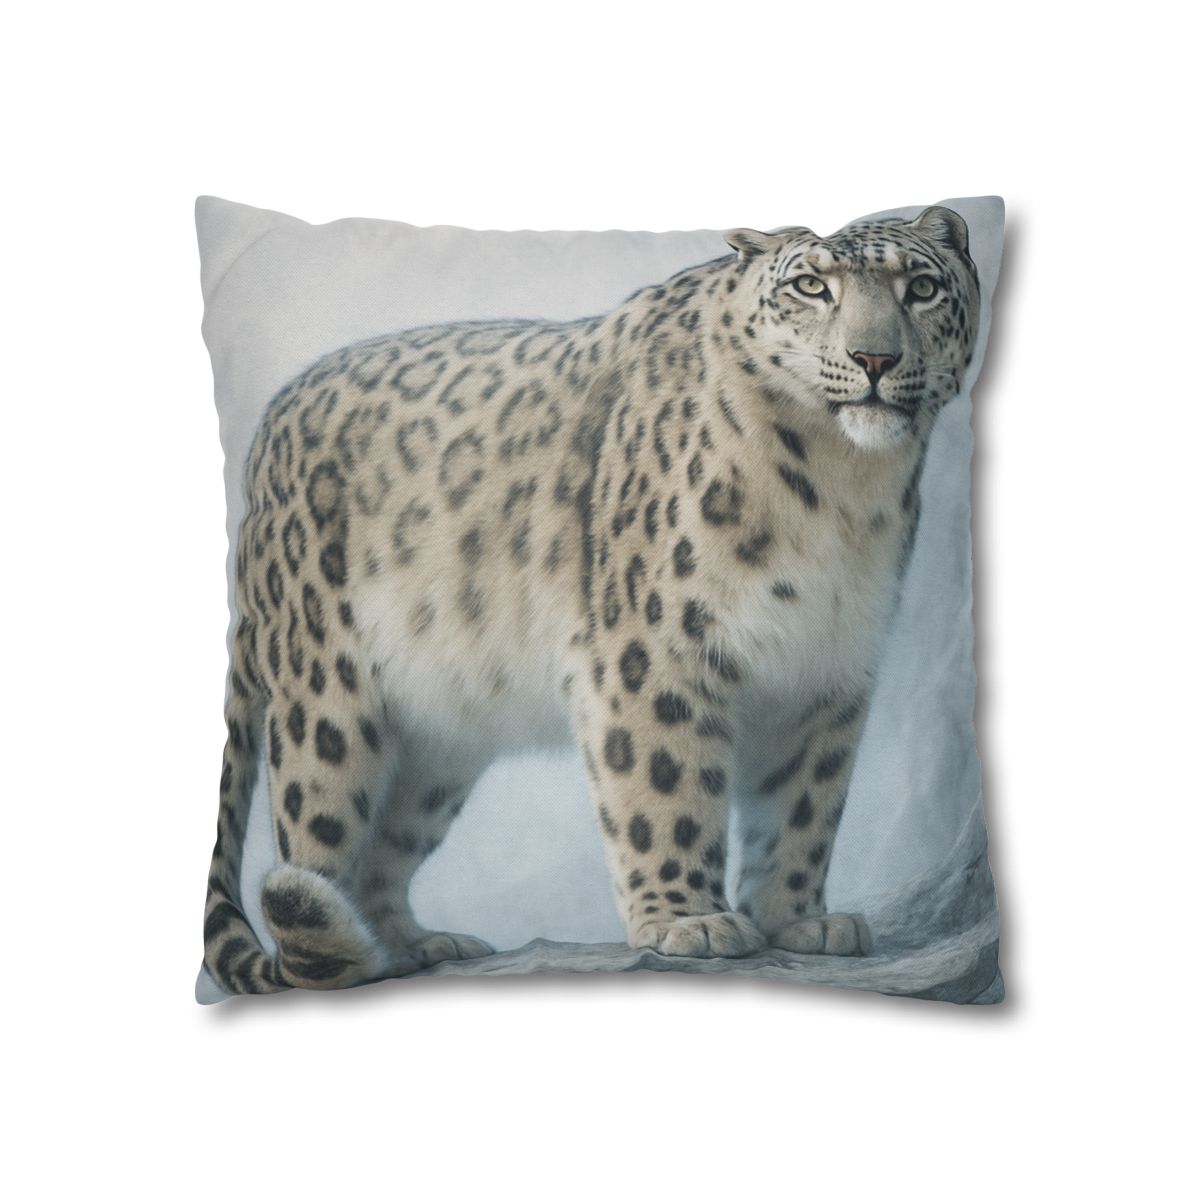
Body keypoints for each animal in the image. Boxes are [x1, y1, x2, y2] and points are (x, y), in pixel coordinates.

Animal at [201, 206, 981, 995]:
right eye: (812, 286)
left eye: (921, 288)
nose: (874, 358)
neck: (843, 489)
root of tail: (264, 439)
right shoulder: (654, 649)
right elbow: (667, 786)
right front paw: (687, 921)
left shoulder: (829, 667)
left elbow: (804, 806)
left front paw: (799, 920)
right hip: (326, 708)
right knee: (315, 848)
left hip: (436, 744)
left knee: (382, 849)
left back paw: (415, 946)